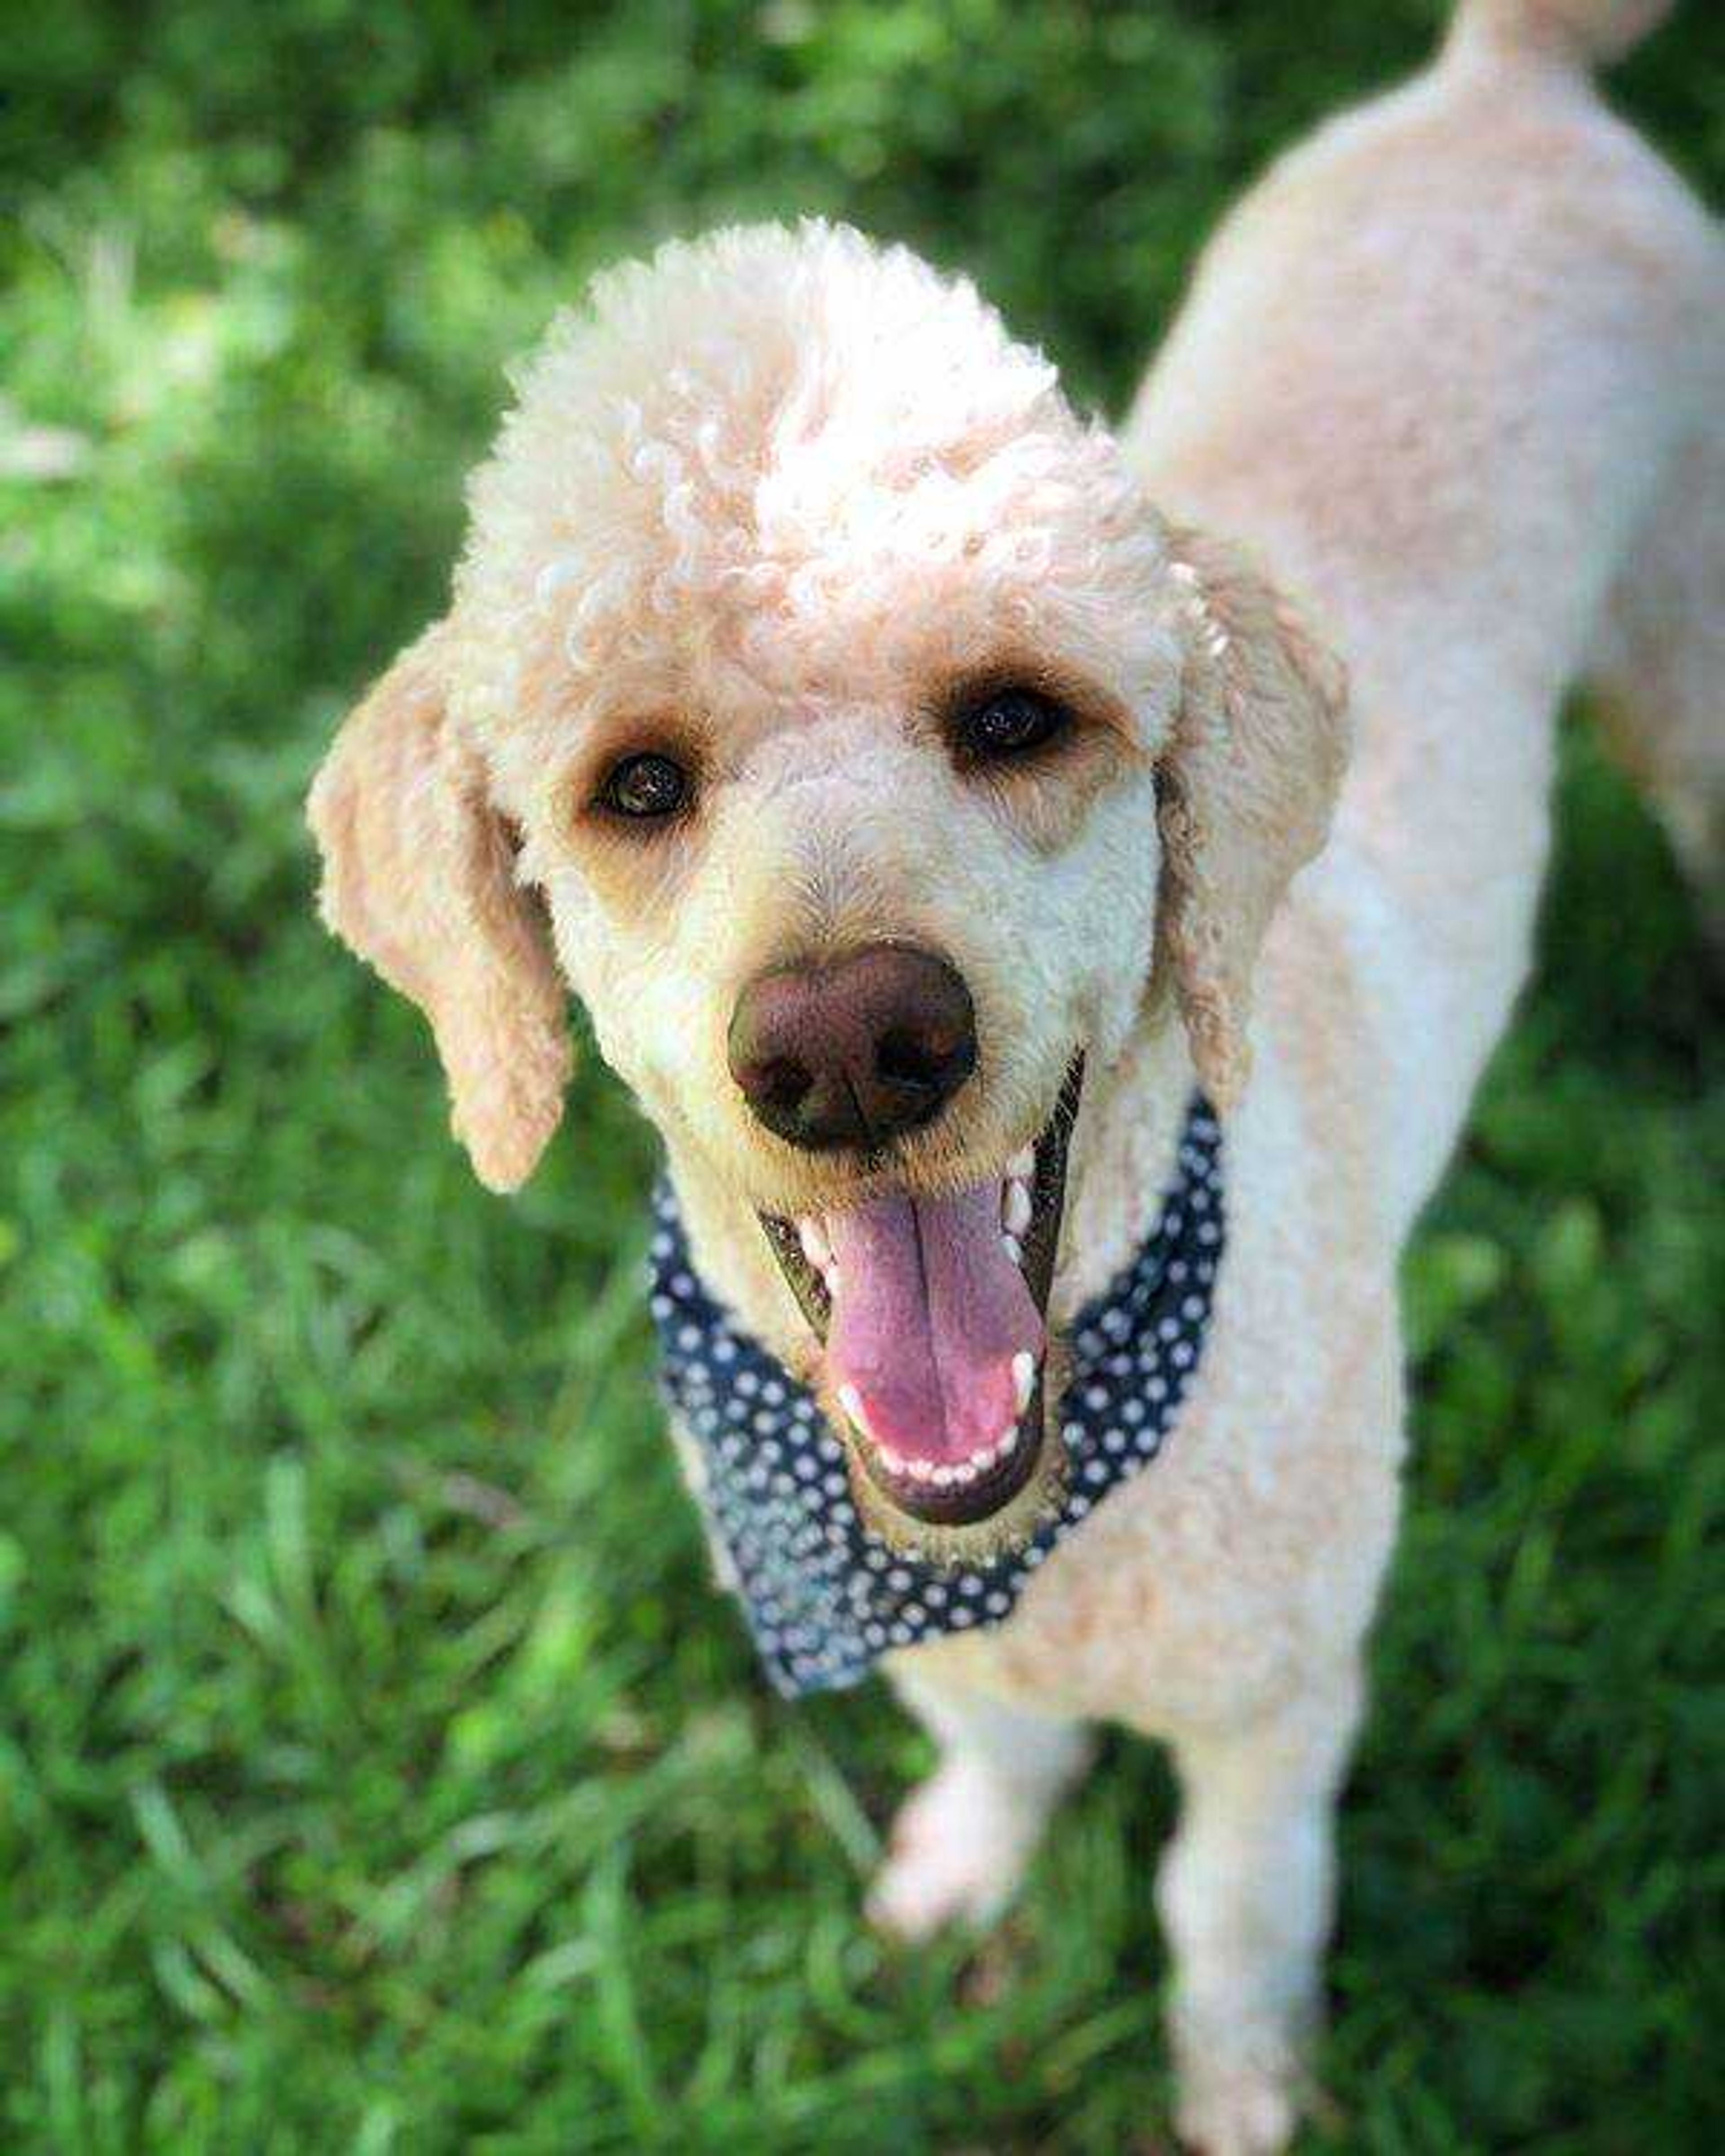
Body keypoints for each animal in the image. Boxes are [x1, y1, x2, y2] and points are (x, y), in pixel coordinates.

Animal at [304, 4, 1716, 2138]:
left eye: (1014, 717)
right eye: (636, 781)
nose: (848, 1048)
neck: (1042, 1499)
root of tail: (1511, 77)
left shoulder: (1278, 1710)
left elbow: (1228, 1914)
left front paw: (1242, 2088)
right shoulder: (931, 1634)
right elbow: (998, 1751)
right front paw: (968, 1869)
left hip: (1686, 668)